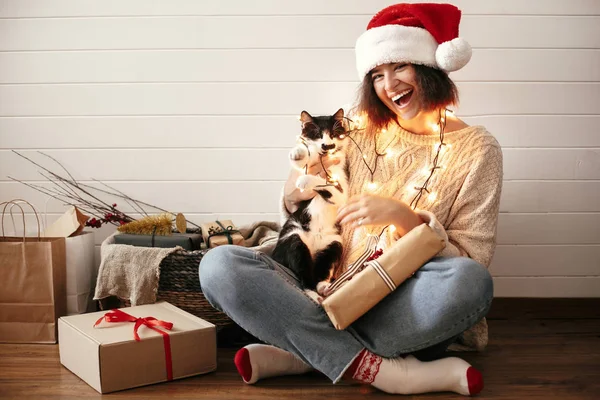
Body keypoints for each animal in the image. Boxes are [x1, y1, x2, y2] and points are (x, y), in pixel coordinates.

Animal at [270, 108, 350, 296]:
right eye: (317, 134)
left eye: (334, 134)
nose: (327, 145)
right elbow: (306, 158)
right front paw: (299, 153)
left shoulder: (342, 189)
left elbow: (332, 188)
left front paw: (305, 180)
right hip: (294, 237)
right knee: (304, 274)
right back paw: (313, 292)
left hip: (333, 242)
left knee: (322, 269)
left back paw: (323, 287)